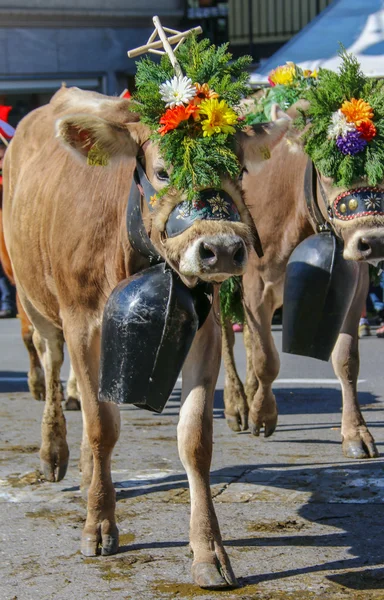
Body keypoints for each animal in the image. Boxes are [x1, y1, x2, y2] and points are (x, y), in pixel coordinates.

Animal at [3, 86, 290, 588]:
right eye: (162, 171)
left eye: (237, 171)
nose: (222, 249)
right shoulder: (82, 323)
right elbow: (102, 425)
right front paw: (99, 524)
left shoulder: (204, 330)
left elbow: (194, 440)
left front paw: (208, 550)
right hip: (34, 300)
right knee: (53, 366)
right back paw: (54, 452)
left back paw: (86, 473)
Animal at [222, 103, 380, 460]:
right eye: (329, 169)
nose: (374, 241)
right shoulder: (255, 283)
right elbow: (267, 359)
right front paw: (263, 415)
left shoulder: (356, 286)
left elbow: (346, 359)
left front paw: (356, 433)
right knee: (224, 330)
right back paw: (237, 404)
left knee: (248, 337)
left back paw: (250, 392)